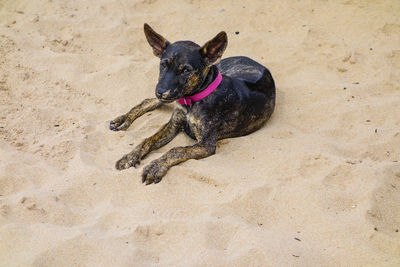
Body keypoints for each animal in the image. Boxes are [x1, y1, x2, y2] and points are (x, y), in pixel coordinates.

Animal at [111, 24, 276, 185]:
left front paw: (155, 167)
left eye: (186, 70)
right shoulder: (173, 124)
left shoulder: (206, 144)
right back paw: (123, 119)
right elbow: (148, 140)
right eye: (163, 64)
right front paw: (130, 157)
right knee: (148, 101)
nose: (161, 91)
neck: (191, 101)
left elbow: (176, 150)